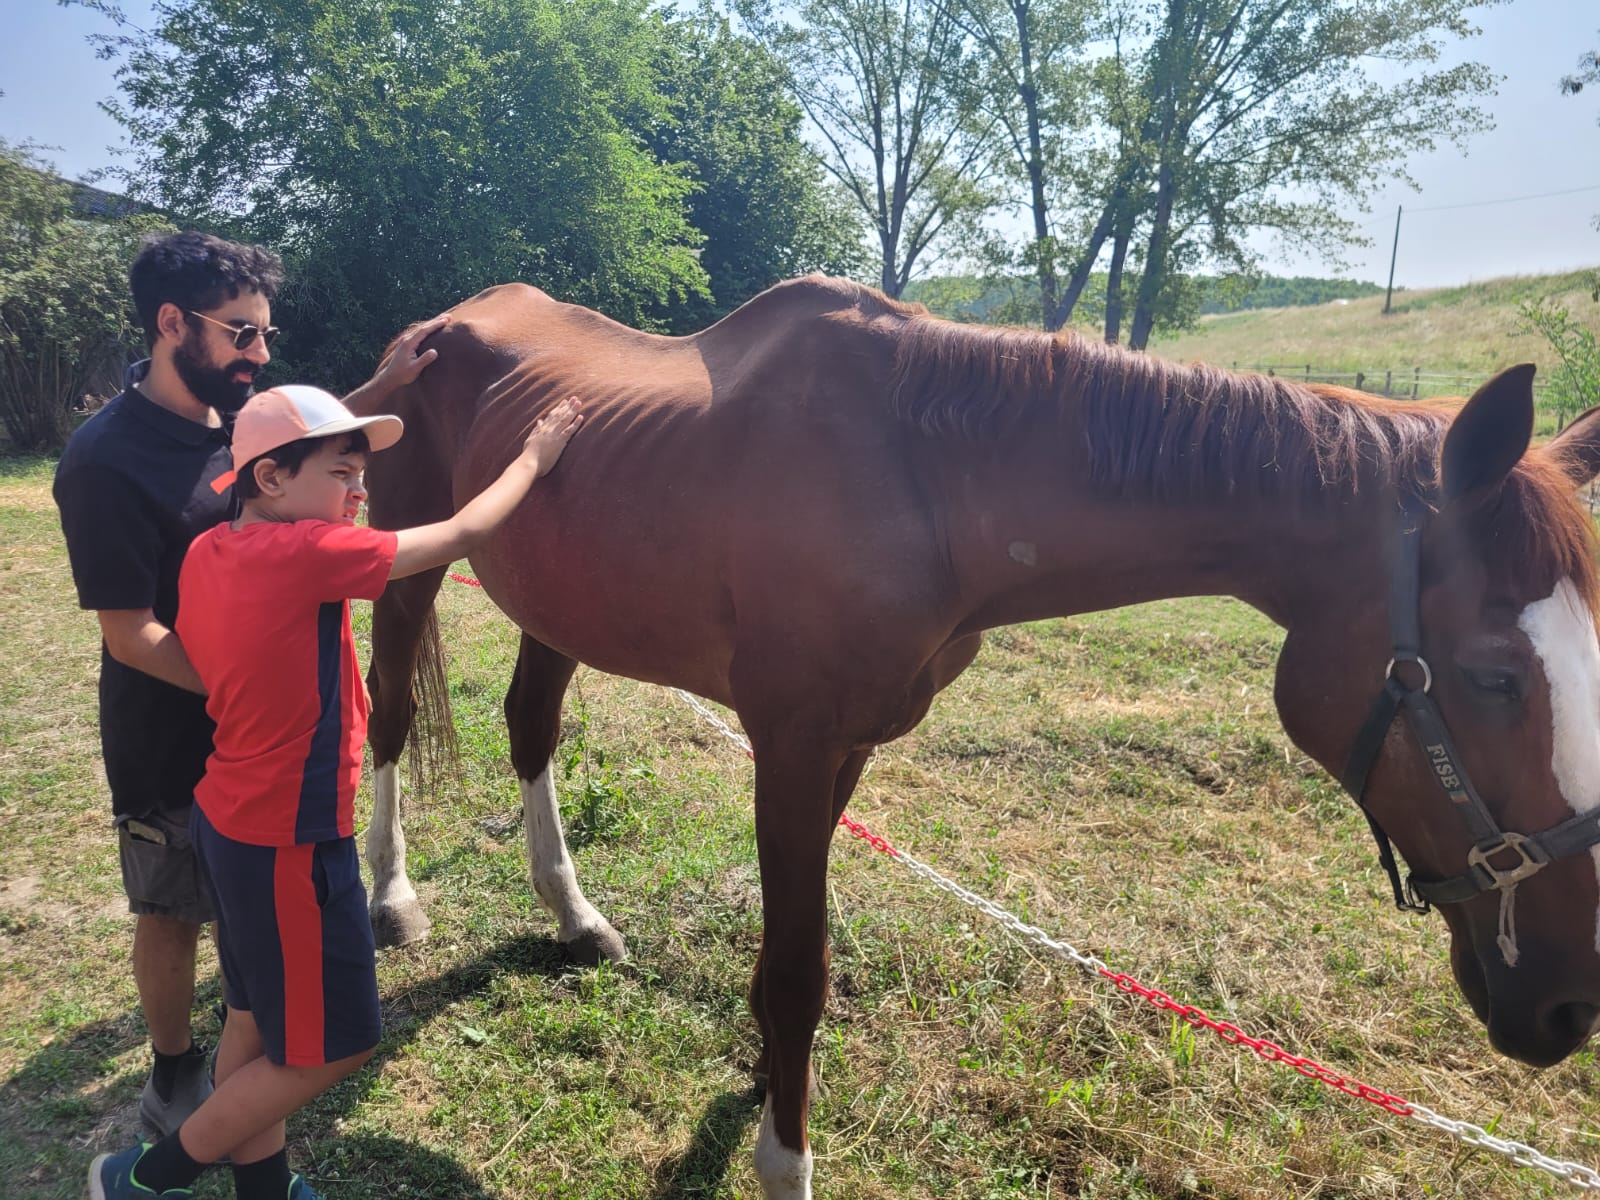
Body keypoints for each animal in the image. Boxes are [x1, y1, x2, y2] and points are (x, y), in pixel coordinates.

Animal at [359, 275, 1600, 1199]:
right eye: (1491, 674)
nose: (1567, 1004)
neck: (921, 477)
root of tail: (438, 325)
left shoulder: (849, 745)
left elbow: (786, 958)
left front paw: (766, 1086)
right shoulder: (791, 743)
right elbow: (797, 973)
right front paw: (784, 1156)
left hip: (555, 602)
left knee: (530, 728)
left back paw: (573, 914)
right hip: (409, 556)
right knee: (389, 717)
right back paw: (393, 898)